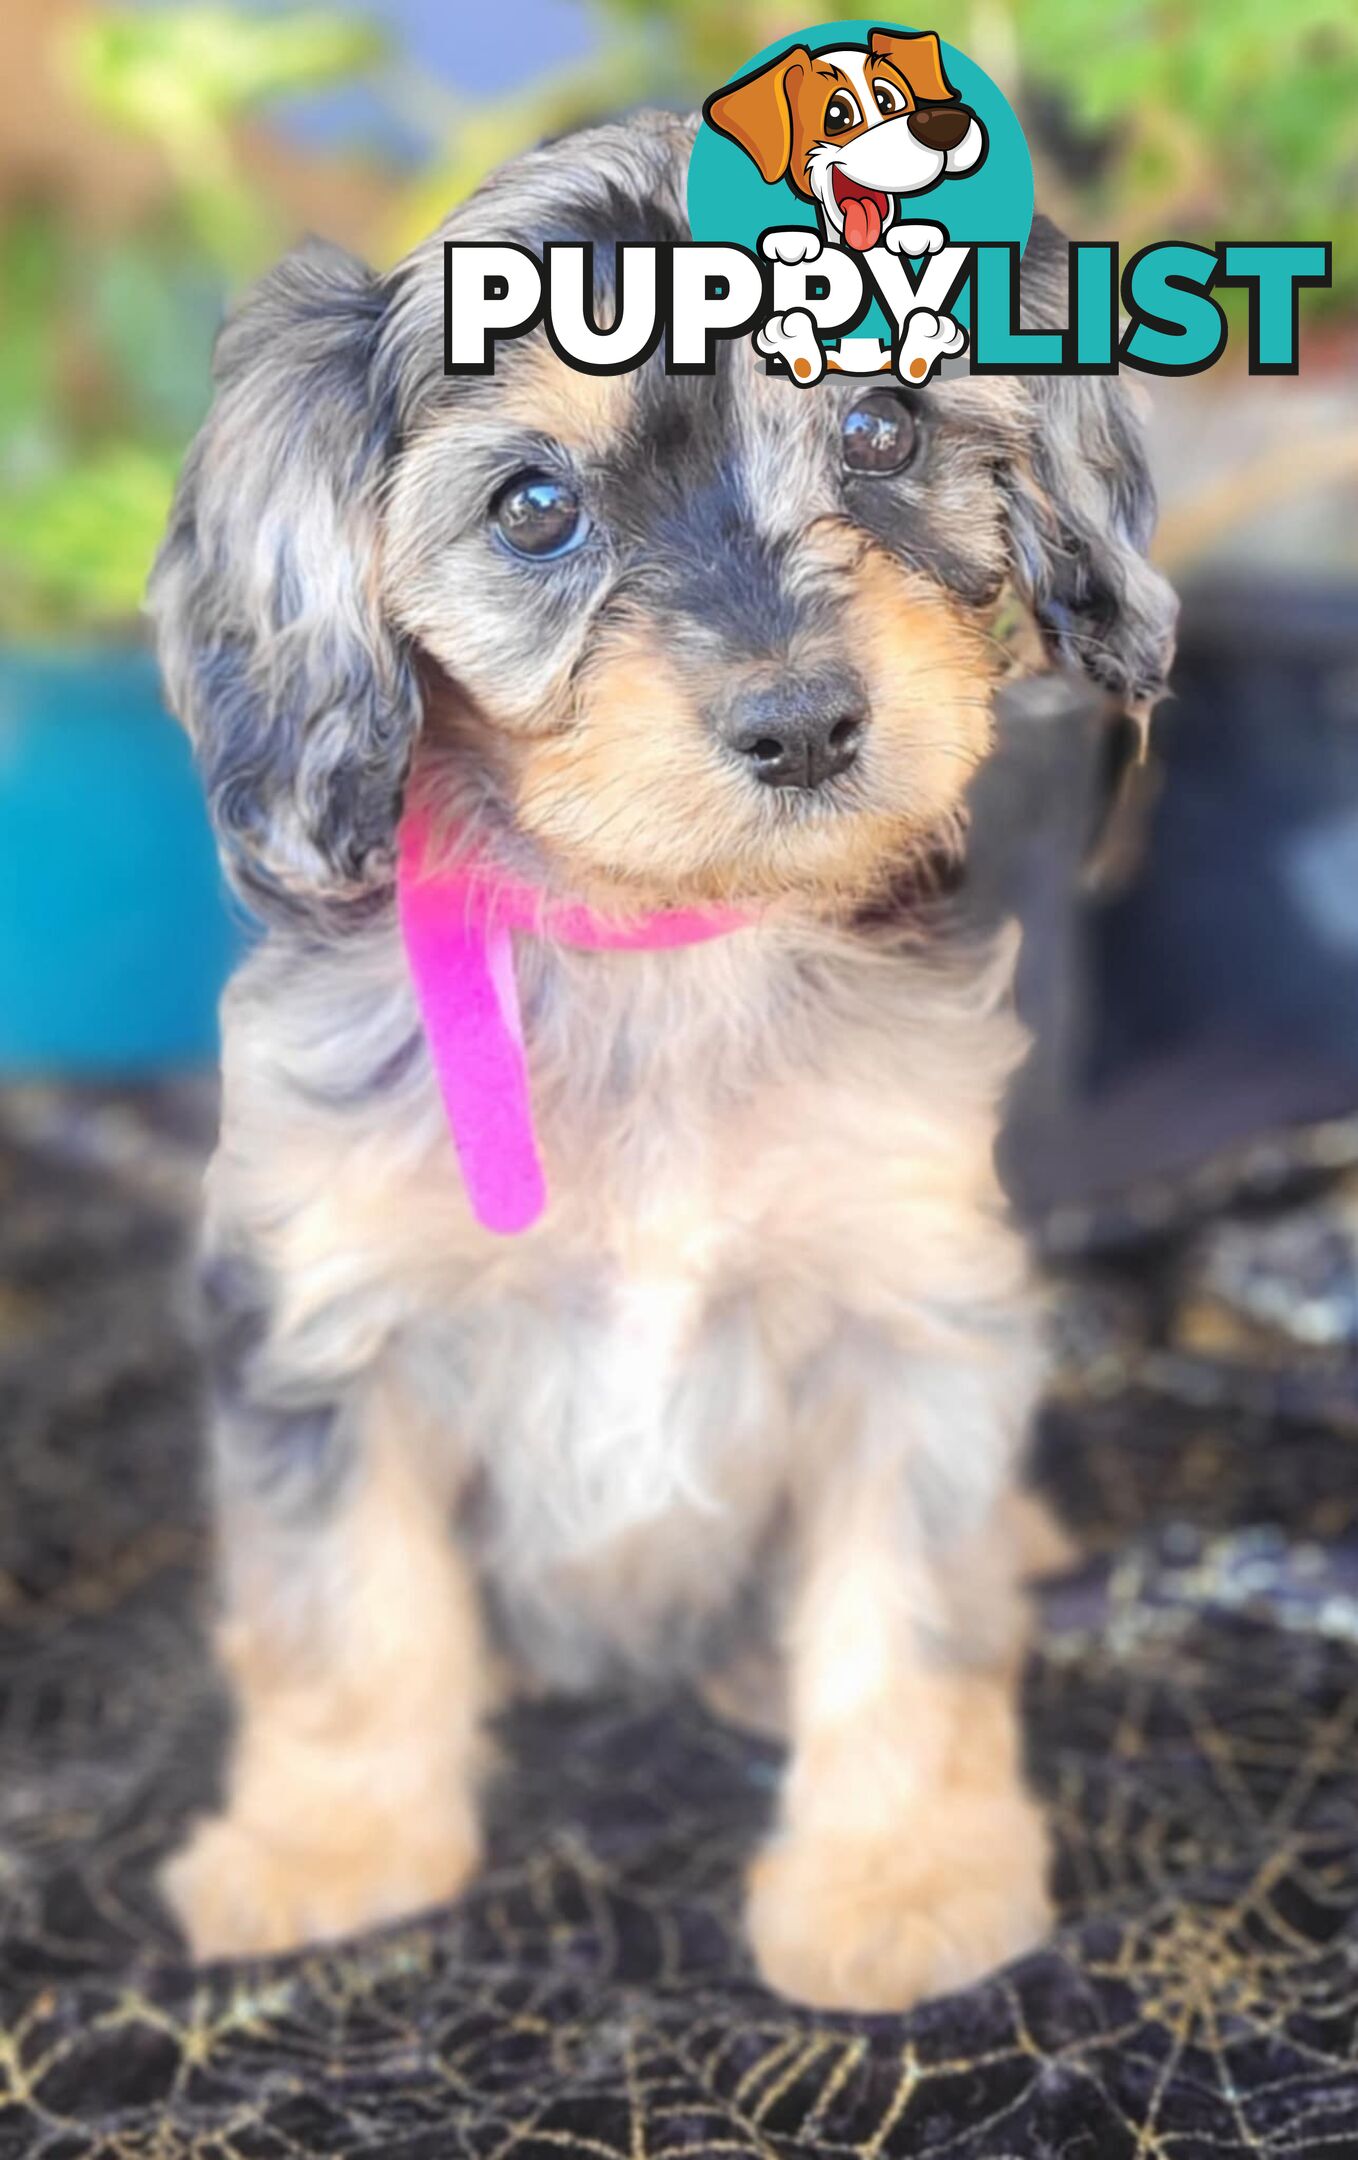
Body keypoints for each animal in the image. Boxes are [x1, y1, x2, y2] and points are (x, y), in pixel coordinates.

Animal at [145, 113, 1165, 2004]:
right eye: (532, 506)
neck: (652, 945)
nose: (804, 726)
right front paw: (330, 1846)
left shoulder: (907, 1306)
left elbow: (906, 1612)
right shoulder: (327, 1319)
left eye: (881, 427)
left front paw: (899, 1876)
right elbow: (342, 1614)